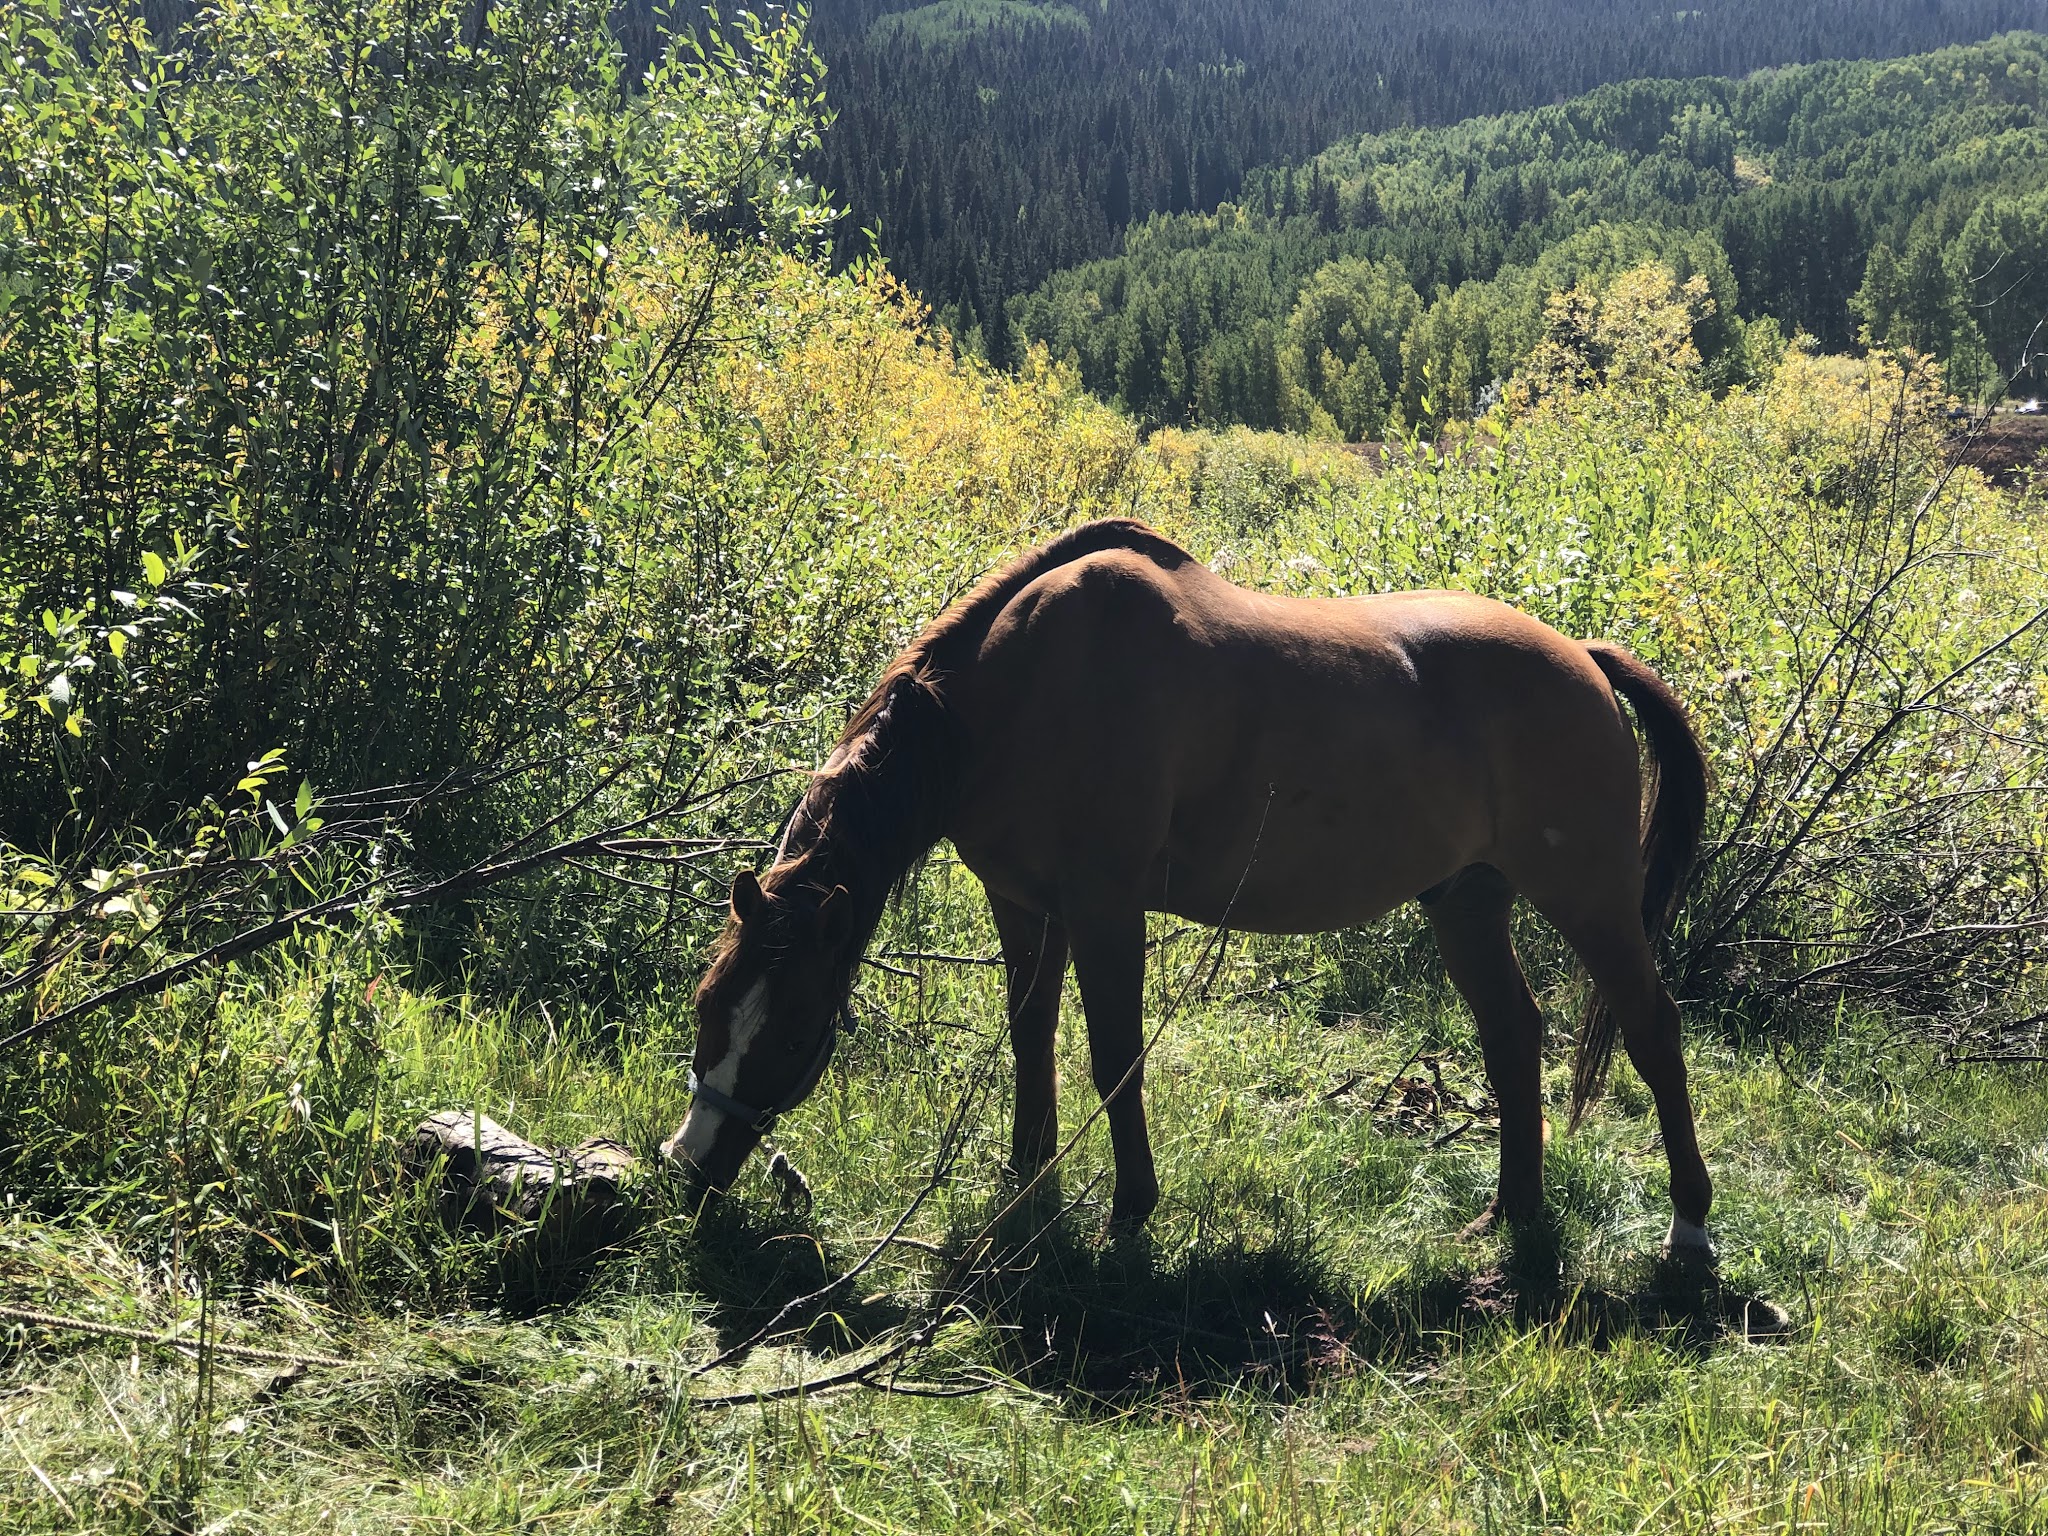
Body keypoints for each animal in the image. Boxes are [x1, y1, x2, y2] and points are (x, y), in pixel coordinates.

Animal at [662, 518, 1715, 1254]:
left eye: (793, 1032)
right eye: (710, 1005)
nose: (690, 1166)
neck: (1013, 693)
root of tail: (1586, 659)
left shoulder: (1104, 906)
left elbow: (1114, 1055)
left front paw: (1129, 1210)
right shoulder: (1025, 904)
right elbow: (1031, 1039)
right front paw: (1027, 1182)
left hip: (1589, 897)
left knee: (1652, 1032)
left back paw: (1689, 1231)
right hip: (1467, 898)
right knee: (1512, 1034)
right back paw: (1510, 1214)